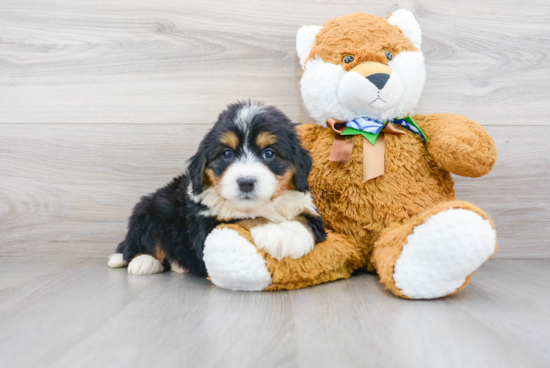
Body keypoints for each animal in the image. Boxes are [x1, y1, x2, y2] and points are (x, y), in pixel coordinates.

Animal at [108, 102, 328, 274]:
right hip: (148, 209)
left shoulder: (308, 208)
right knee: (137, 242)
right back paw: (142, 261)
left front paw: (291, 238)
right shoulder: (204, 228)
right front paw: (273, 233)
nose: (246, 182)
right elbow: (241, 219)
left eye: (269, 153)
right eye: (227, 154)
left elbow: (305, 220)